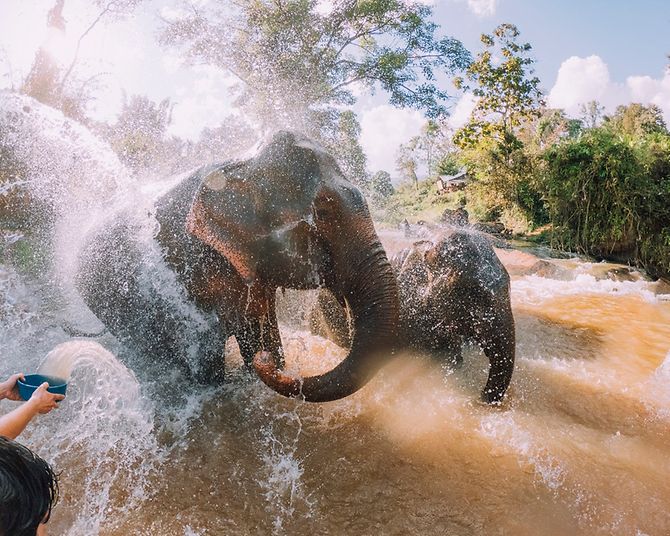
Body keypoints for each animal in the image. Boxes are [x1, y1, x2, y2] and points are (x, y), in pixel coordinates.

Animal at [75, 131, 400, 402]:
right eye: (322, 212)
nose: (262, 362)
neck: (241, 164)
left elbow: (259, 332)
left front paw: (262, 358)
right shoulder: (180, 272)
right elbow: (206, 365)